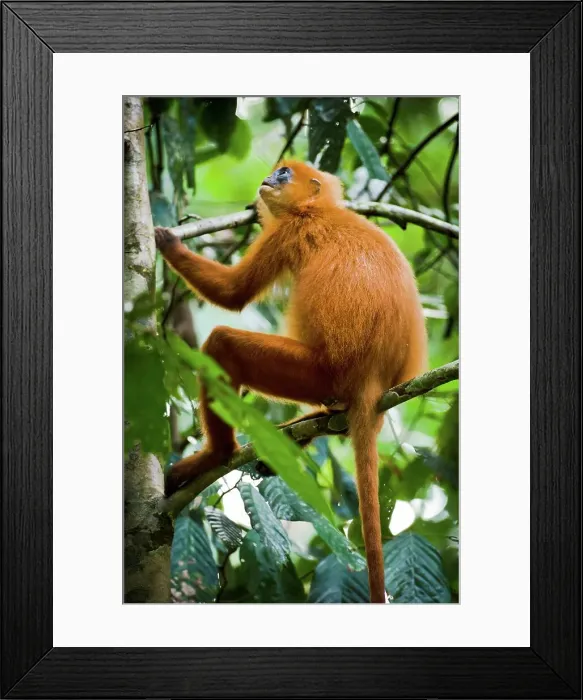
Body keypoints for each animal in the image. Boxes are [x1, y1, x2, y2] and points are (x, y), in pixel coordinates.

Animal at [154, 160, 428, 603]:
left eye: (283, 173)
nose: (268, 181)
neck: (318, 210)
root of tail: (371, 378)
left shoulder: (286, 232)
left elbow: (233, 294)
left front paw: (167, 243)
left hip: (315, 372)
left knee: (223, 345)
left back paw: (217, 454)